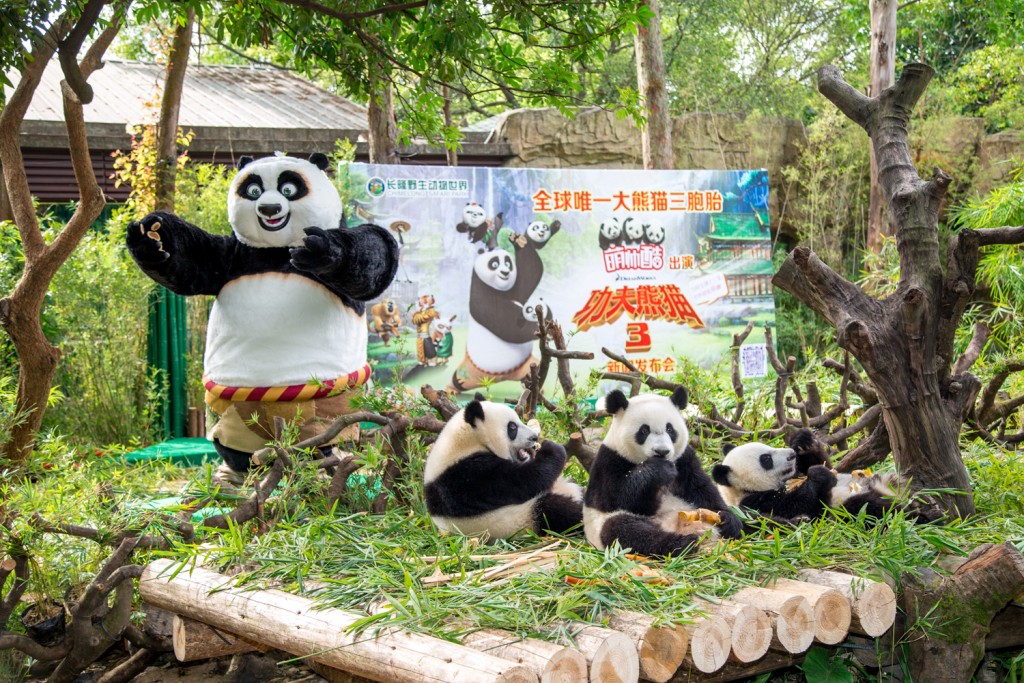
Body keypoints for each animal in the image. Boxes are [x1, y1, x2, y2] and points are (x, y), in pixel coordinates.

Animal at [125, 153, 397, 475]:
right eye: (253, 190)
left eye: (289, 189)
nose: (269, 209)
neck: (275, 251)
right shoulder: (232, 256)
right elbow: (190, 264)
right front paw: (152, 237)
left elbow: (373, 256)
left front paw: (323, 250)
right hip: (229, 409)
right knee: (230, 436)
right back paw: (243, 466)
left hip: (322, 404)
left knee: (319, 432)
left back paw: (314, 459)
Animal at [423, 395, 585, 540]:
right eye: (512, 427)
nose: (534, 437)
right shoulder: (467, 476)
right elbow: (524, 481)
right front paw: (553, 448)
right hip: (520, 518)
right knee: (554, 510)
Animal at [585, 387, 745, 557]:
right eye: (644, 430)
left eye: (670, 429)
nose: (662, 451)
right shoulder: (609, 461)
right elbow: (617, 496)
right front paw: (659, 470)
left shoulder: (683, 459)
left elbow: (700, 488)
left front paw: (728, 520)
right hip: (606, 524)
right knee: (626, 530)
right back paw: (682, 544)